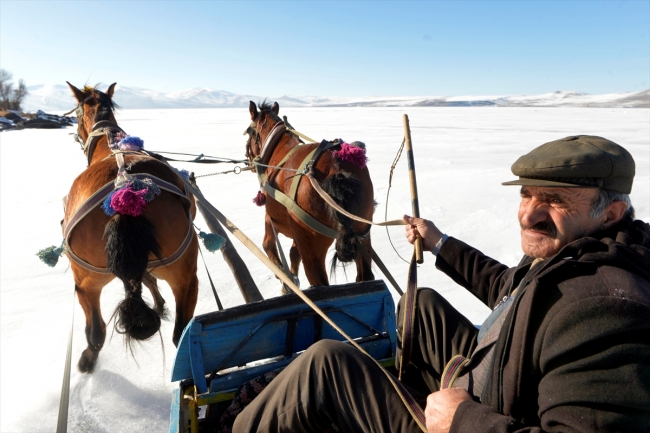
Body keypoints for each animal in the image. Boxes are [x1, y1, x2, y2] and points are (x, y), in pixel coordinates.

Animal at [65, 82, 200, 372]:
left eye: (76, 115)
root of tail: (124, 189)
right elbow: (143, 280)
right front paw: (158, 303)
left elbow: (144, 281)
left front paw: (158, 303)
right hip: (183, 276)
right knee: (180, 334)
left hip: (86, 282)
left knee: (96, 331)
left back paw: (87, 359)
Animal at [244, 99, 374, 286]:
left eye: (248, 131)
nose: (248, 159)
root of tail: (335, 168)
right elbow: (293, 253)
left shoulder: (272, 218)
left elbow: (268, 246)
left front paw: (286, 281)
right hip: (362, 236)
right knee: (365, 275)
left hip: (311, 248)